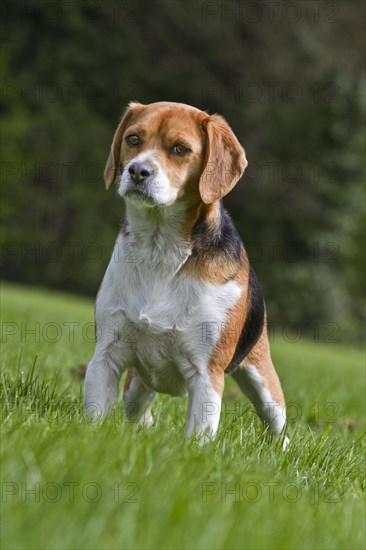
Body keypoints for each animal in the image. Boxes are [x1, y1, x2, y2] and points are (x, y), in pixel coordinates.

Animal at [84, 101, 288, 448]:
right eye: (133, 139)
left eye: (180, 149)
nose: (137, 171)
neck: (160, 249)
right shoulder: (106, 354)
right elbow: (95, 413)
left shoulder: (207, 376)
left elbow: (199, 436)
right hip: (137, 386)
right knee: (139, 407)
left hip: (264, 385)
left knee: (278, 425)